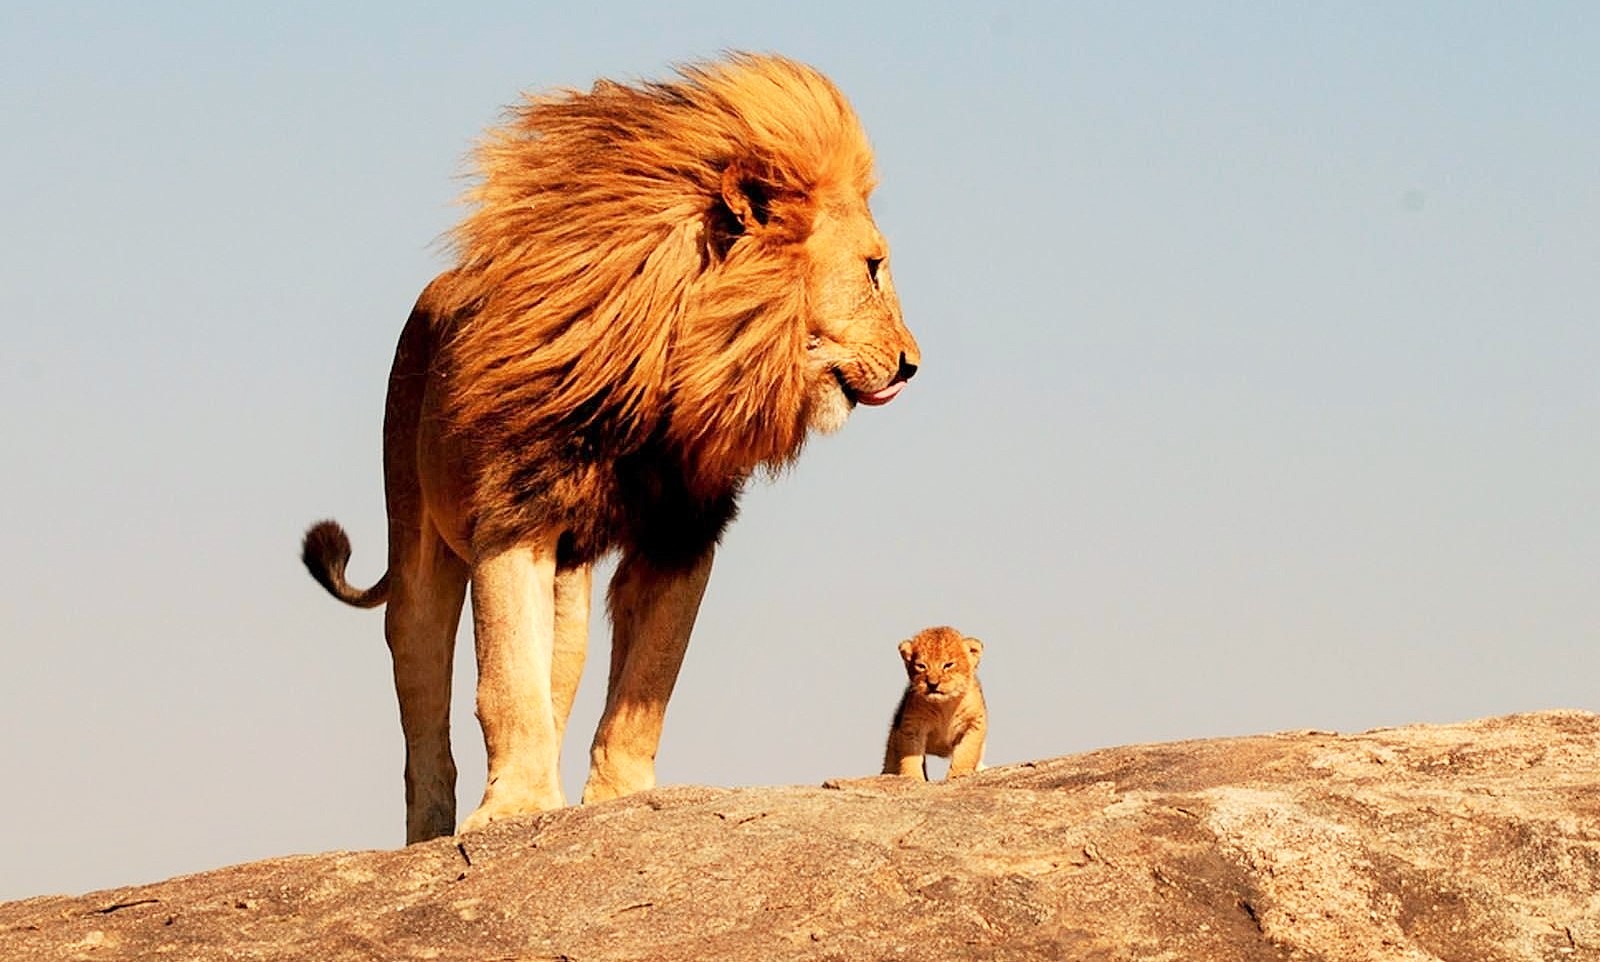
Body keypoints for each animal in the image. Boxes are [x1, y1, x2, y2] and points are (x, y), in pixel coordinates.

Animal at [301, 53, 919, 843]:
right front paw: (516, 808)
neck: (670, 367)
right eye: (873, 267)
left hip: (569, 588)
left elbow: (646, 685)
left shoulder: (683, 533)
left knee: (558, 672)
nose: (912, 365)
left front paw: (617, 799)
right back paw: (432, 832)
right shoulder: (513, 519)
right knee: (423, 696)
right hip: (417, 546)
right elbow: (506, 681)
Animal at [883, 626, 987, 781]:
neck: (944, 705)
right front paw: (913, 777)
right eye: (921, 666)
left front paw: (958, 773)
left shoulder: (974, 722)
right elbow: (911, 756)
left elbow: (966, 752)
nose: (932, 684)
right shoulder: (913, 725)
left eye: (948, 665)